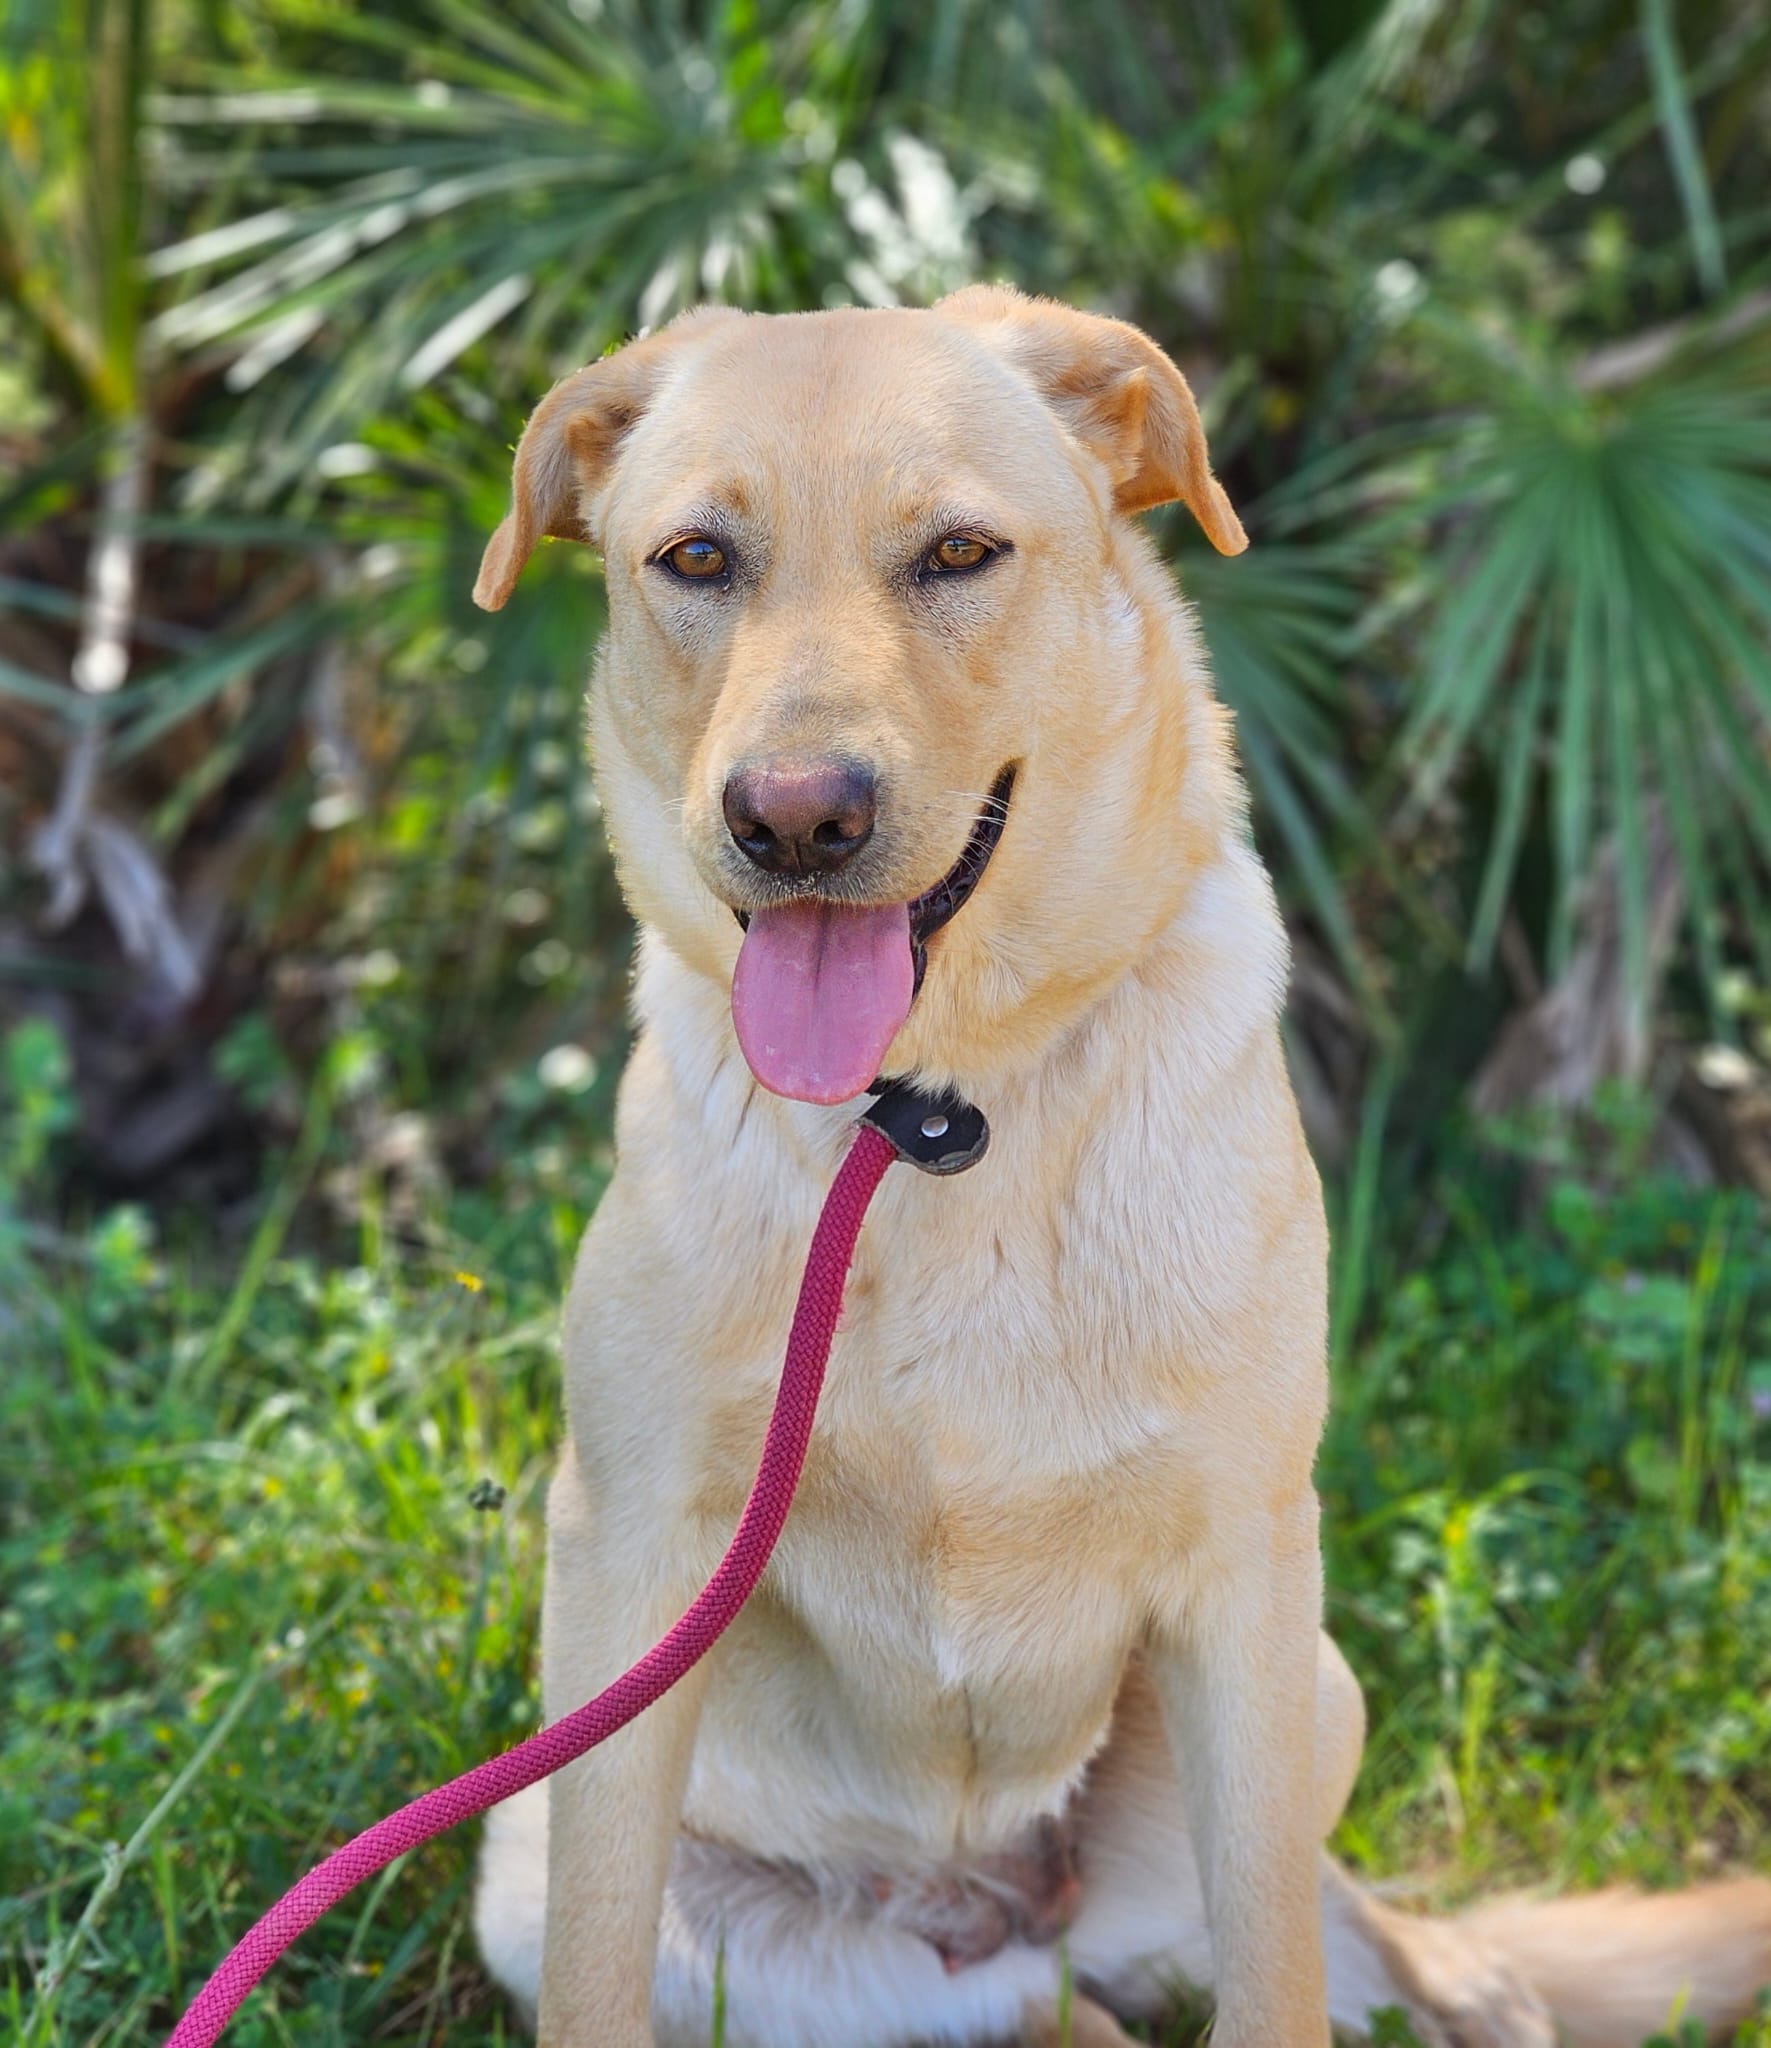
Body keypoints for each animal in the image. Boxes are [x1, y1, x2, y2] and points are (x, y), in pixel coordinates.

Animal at [467, 289, 1771, 2048]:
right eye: (693, 560)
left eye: (957, 552)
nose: (793, 822)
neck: (927, 1119)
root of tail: (998, 1918)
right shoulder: (628, 1562)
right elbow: (596, 1972)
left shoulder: (1243, 1568)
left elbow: (1278, 1975)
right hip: (559, 1864)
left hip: (1314, 1689)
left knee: (1321, 1937)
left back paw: (1475, 1992)